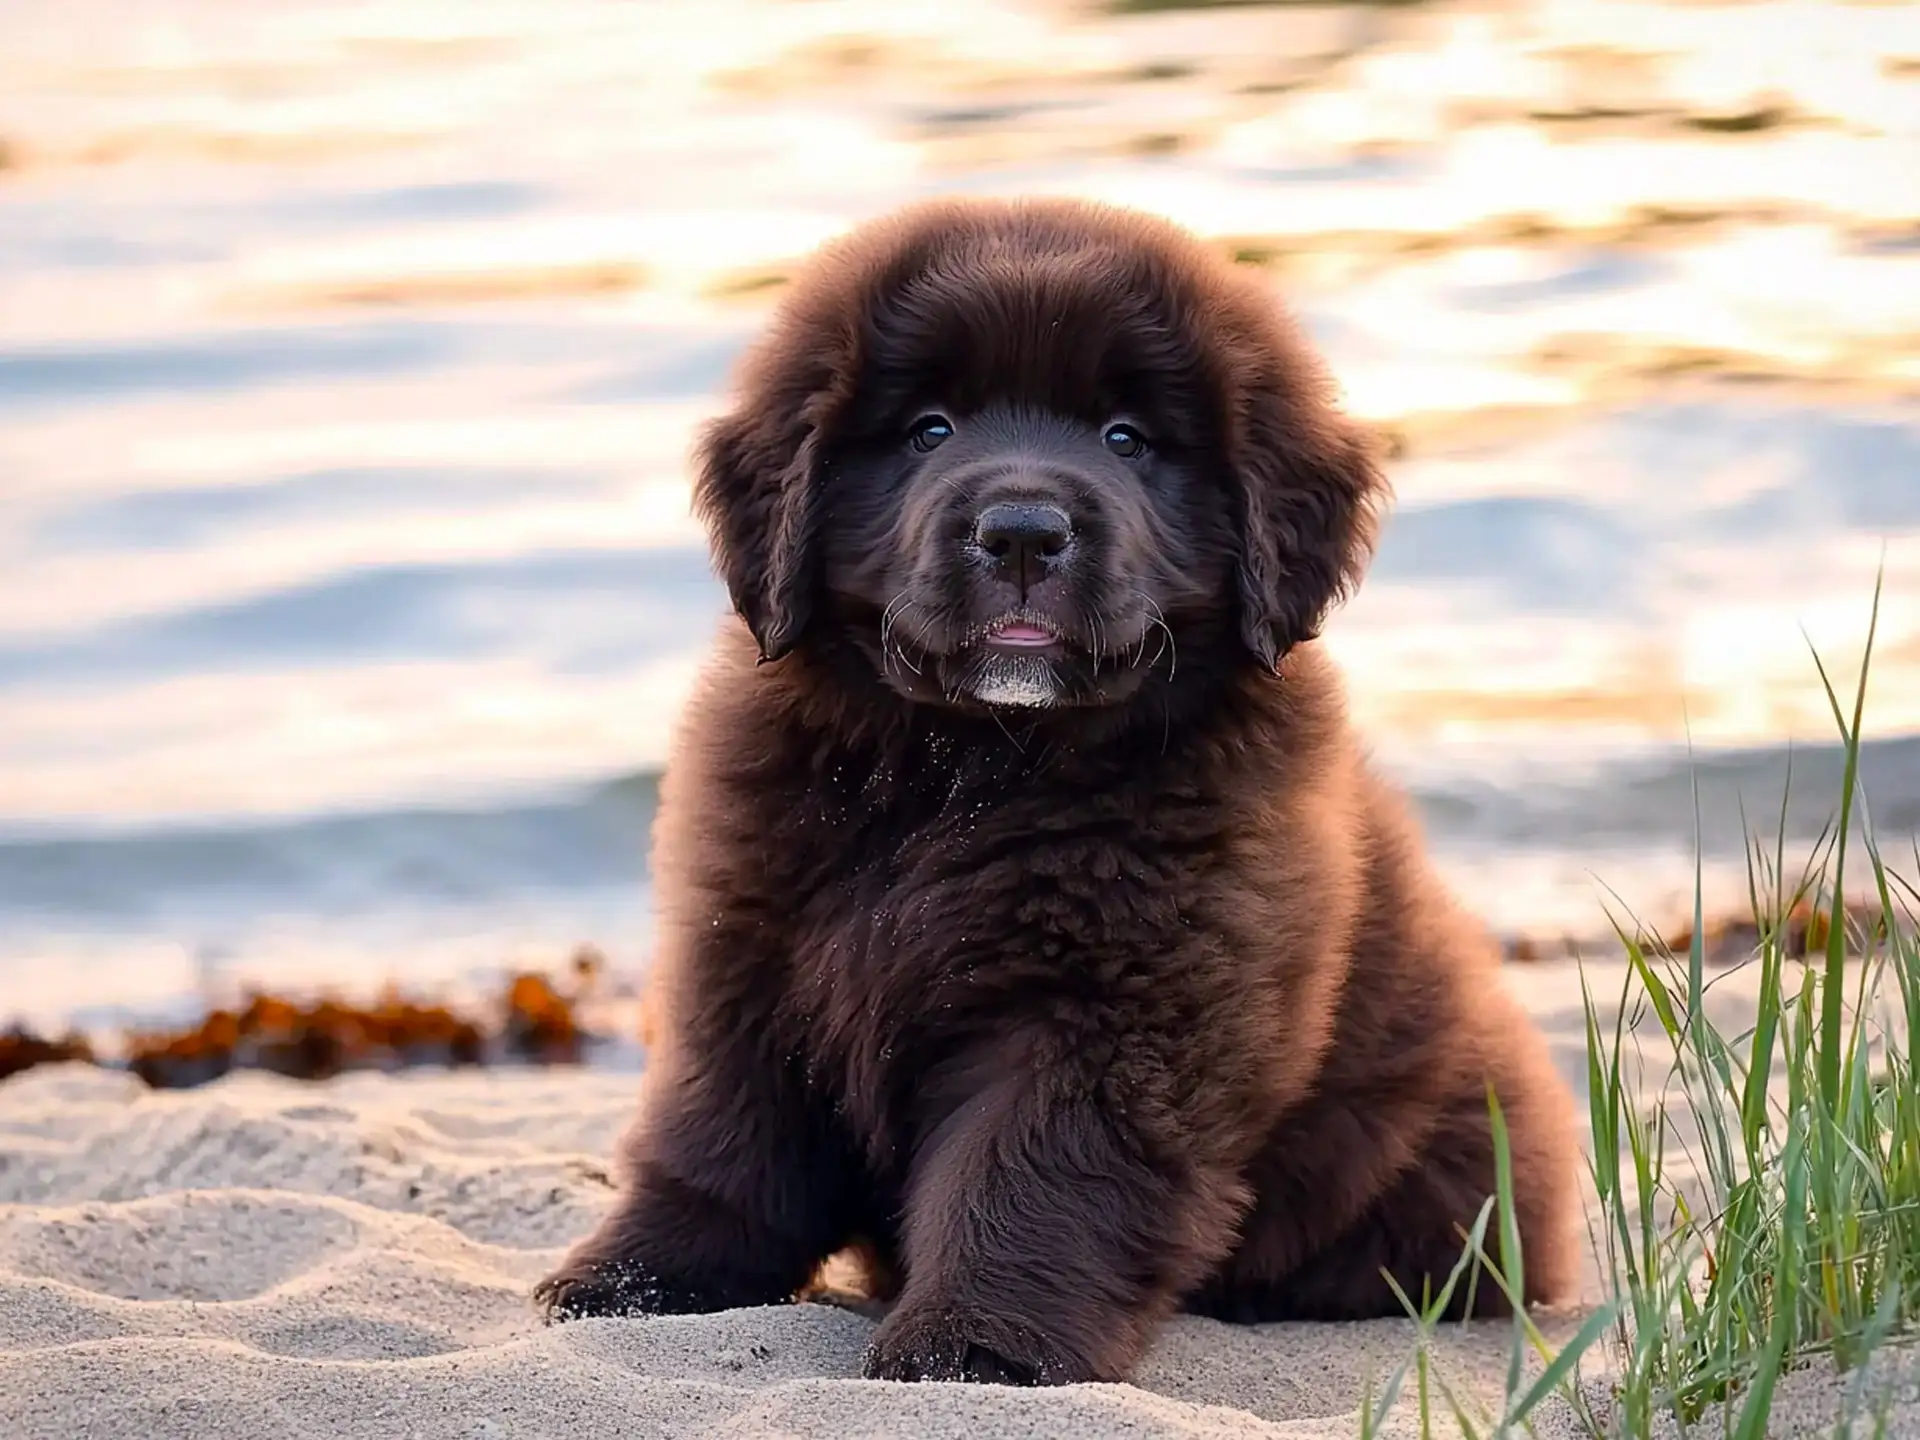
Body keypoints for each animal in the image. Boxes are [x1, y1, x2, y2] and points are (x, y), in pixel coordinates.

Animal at [537, 200, 1574, 1390]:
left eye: (1127, 438)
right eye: (929, 429)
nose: (1025, 531)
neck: (963, 769)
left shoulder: (1115, 1010)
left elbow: (1031, 1176)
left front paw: (971, 1351)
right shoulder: (749, 955)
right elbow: (720, 1138)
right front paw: (637, 1288)